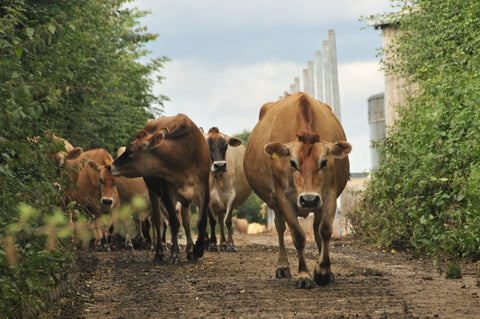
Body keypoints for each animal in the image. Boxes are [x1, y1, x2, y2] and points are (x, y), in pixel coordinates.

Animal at [111, 114, 212, 264]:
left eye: (130, 151)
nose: (111, 166)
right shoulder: (167, 193)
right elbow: (174, 223)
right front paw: (174, 254)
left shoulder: (204, 189)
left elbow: (201, 221)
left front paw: (198, 250)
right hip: (152, 192)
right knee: (157, 220)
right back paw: (160, 252)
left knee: (186, 222)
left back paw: (189, 251)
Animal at [244, 93, 352, 290]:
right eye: (292, 162)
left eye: (324, 161)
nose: (308, 199)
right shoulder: (284, 198)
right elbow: (298, 236)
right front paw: (303, 275)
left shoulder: (329, 195)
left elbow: (325, 230)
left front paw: (323, 272)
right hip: (275, 204)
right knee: (280, 228)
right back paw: (282, 266)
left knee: (316, 229)